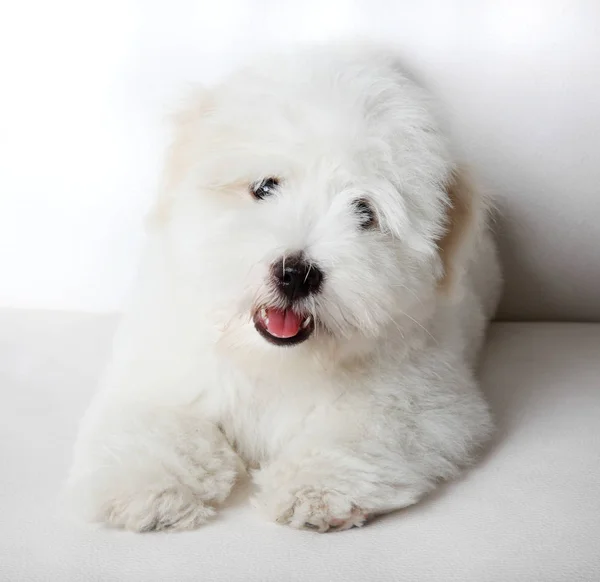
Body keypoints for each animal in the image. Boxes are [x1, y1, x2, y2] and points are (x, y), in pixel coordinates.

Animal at [67, 44, 502, 532]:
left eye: (365, 212)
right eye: (264, 187)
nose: (296, 273)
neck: (273, 363)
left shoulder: (426, 395)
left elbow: (367, 428)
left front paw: (317, 486)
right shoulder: (157, 367)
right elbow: (157, 420)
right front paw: (150, 484)